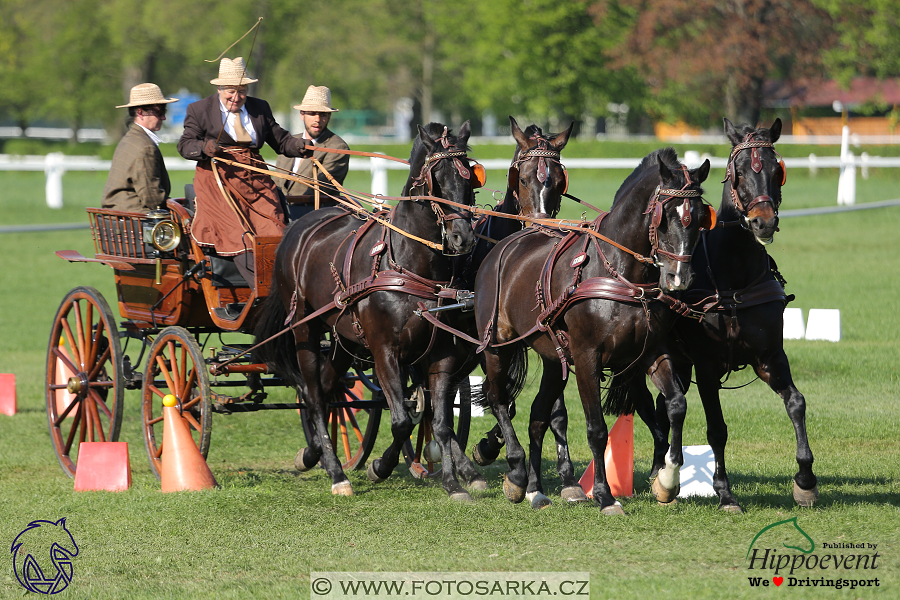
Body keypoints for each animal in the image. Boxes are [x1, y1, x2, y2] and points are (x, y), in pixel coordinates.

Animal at [255, 120, 486, 496]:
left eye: (470, 178)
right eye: (436, 178)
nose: (462, 238)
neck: (407, 263)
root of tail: (299, 228)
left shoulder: (441, 353)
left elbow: (439, 419)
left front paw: (454, 482)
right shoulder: (384, 350)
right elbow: (403, 420)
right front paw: (380, 467)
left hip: (342, 339)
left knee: (329, 386)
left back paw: (314, 453)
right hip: (305, 328)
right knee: (313, 394)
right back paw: (337, 473)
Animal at [474, 149, 712, 510]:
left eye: (699, 217)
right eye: (665, 215)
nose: (678, 277)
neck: (621, 274)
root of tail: (502, 247)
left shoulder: (652, 351)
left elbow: (676, 405)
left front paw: (667, 481)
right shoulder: (587, 357)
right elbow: (597, 429)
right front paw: (604, 495)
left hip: (552, 358)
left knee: (537, 416)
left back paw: (534, 488)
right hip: (496, 346)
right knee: (499, 399)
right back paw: (515, 475)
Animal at [652, 118, 820, 510]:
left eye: (777, 170)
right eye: (739, 172)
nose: (763, 222)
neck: (735, 278)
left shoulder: (770, 356)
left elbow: (796, 403)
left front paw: (805, 480)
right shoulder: (706, 366)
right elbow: (717, 428)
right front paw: (724, 491)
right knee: (668, 407)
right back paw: (664, 475)